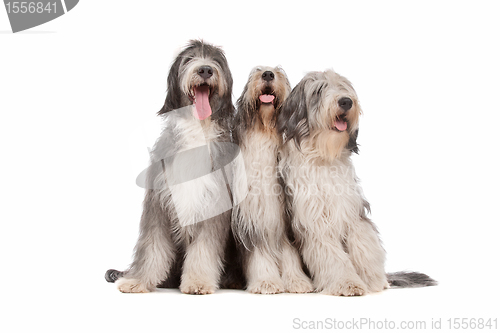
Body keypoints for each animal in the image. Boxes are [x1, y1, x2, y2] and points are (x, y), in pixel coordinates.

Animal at [105, 39, 242, 294]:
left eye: (216, 60)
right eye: (189, 59)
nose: (205, 69)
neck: (197, 129)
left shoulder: (214, 203)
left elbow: (204, 249)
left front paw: (198, 281)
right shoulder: (158, 202)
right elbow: (152, 245)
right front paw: (137, 281)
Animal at [230, 65, 312, 294]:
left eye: (279, 72)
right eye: (256, 71)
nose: (267, 73)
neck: (265, 130)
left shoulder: (287, 219)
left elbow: (290, 253)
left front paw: (297, 281)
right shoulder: (252, 216)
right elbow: (259, 254)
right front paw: (266, 281)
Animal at [278, 68, 438, 294]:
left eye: (343, 87)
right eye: (319, 90)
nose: (346, 101)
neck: (324, 157)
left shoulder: (352, 211)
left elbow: (363, 244)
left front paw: (372, 281)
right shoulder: (314, 220)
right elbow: (332, 254)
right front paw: (347, 282)